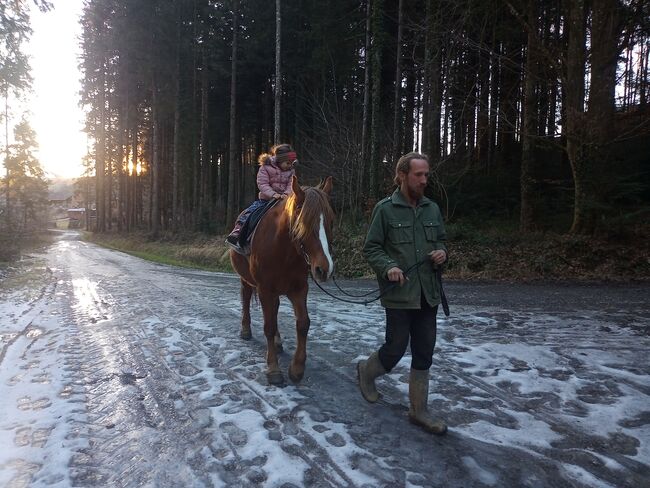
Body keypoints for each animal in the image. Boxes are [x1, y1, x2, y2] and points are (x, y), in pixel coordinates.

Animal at [229, 175, 334, 386]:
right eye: (304, 223)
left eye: (330, 222)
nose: (324, 269)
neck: (284, 250)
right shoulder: (265, 289)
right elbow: (268, 326)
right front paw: (274, 369)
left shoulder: (299, 289)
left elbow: (303, 323)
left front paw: (297, 369)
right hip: (246, 280)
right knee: (246, 299)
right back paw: (245, 330)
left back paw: (278, 342)